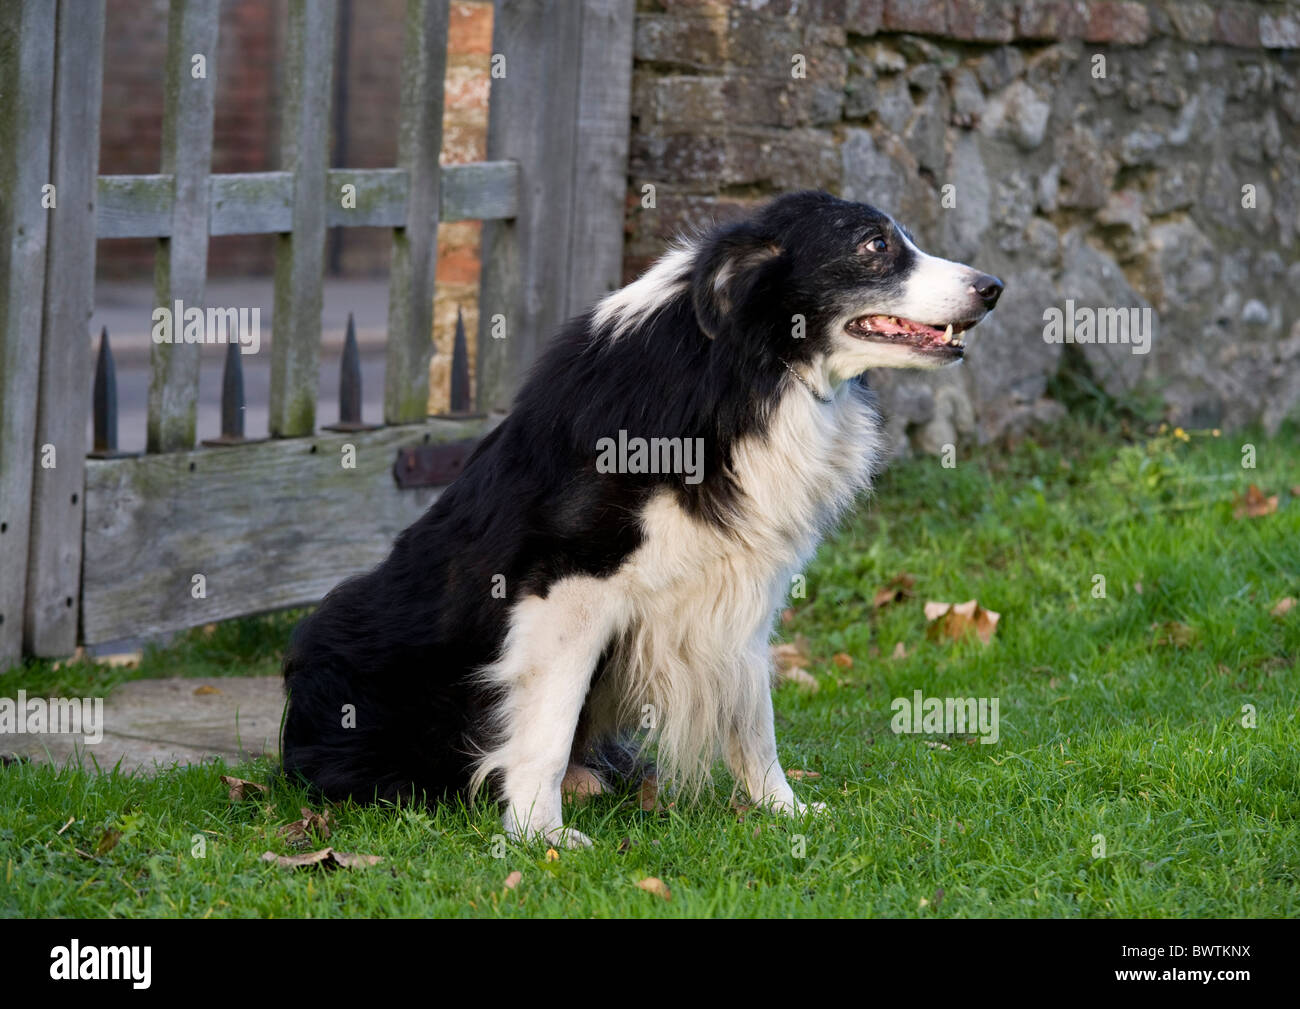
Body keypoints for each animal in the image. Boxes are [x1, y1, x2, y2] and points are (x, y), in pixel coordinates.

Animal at [279, 189, 998, 842]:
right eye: (874, 245)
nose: (992, 287)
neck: (750, 372)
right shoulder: (567, 583)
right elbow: (547, 722)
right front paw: (539, 837)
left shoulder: (746, 583)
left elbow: (755, 714)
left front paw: (785, 810)